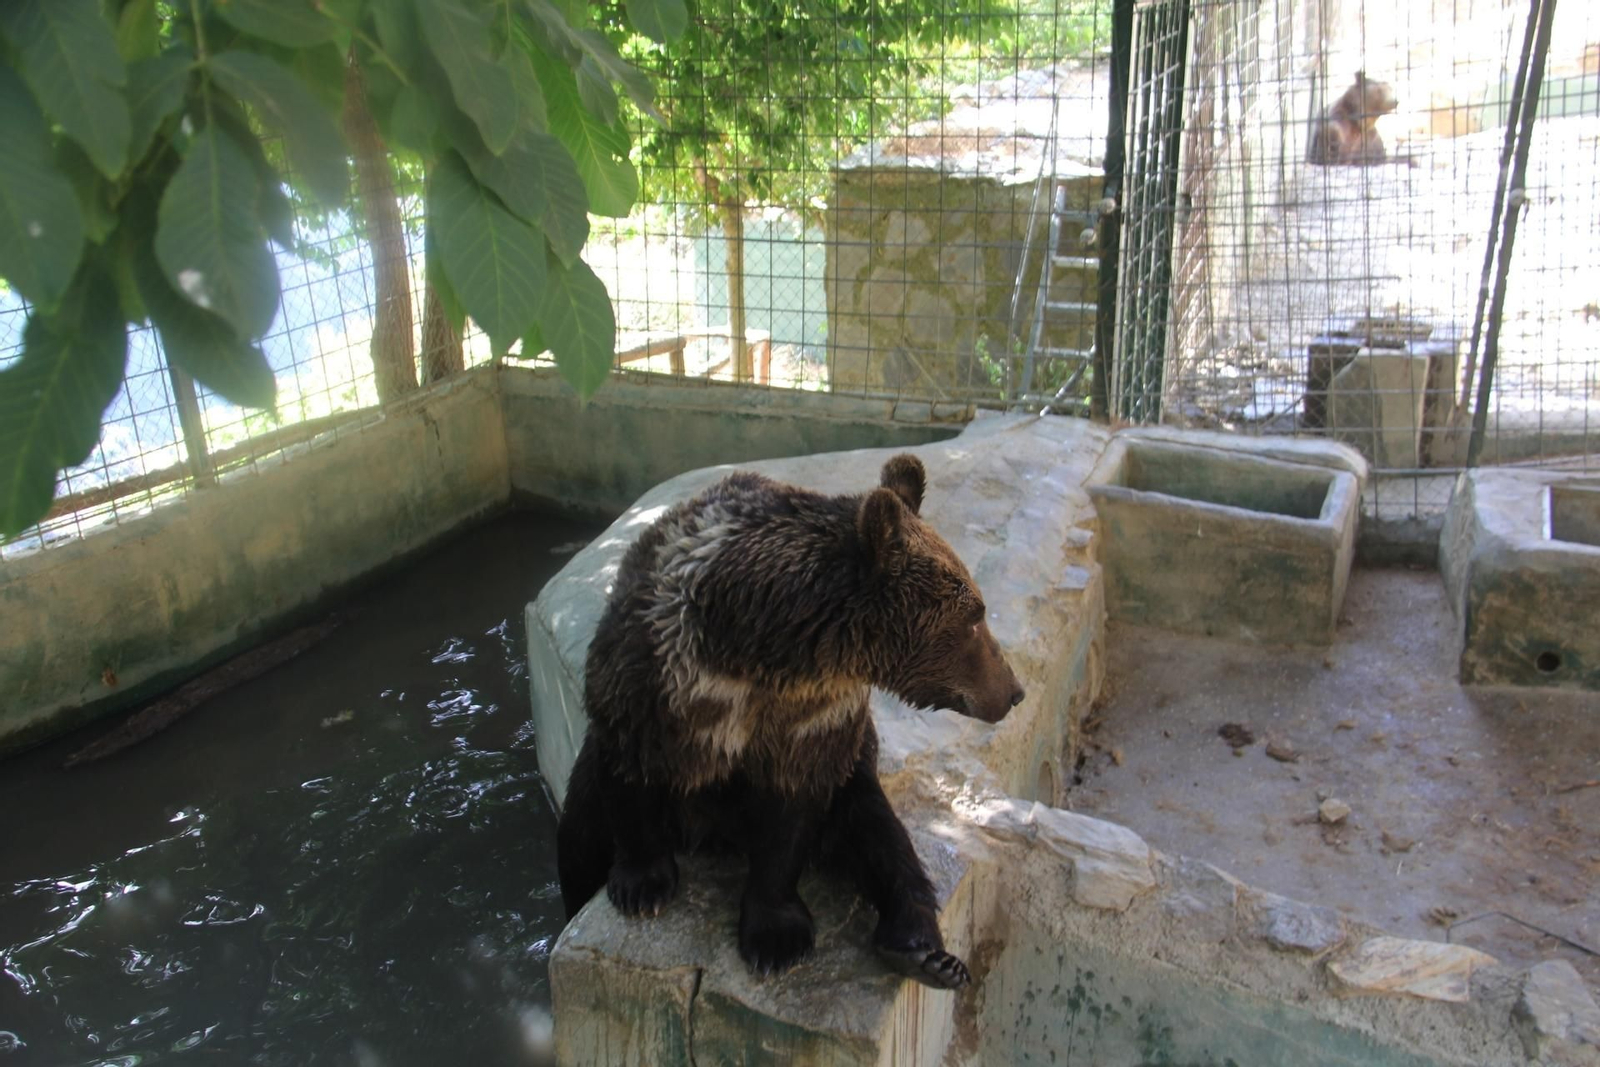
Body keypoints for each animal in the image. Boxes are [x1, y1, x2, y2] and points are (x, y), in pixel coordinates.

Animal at [555, 454, 1025, 986]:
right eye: (974, 617)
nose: (1013, 691)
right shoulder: (654, 675)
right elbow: (627, 771)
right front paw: (642, 885)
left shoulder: (813, 720)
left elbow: (792, 816)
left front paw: (777, 937)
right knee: (577, 841)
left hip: (855, 779)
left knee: (880, 833)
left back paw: (926, 954)